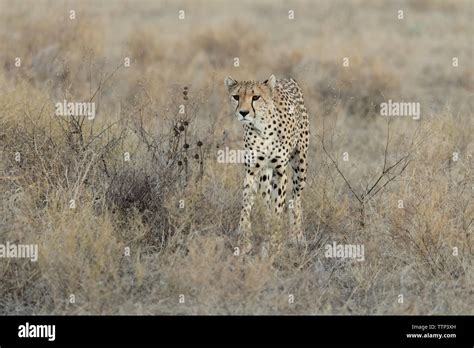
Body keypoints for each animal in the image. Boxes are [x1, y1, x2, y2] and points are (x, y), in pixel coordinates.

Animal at [226, 74, 312, 253]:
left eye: (256, 97)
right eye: (236, 97)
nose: (243, 113)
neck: (262, 127)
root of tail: (286, 78)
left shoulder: (280, 172)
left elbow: (279, 207)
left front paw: (274, 241)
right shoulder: (251, 171)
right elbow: (246, 204)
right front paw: (244, 240)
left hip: (300, 165)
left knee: (296, 199)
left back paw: (297, 236)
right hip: (265, 174)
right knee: (266, 199)